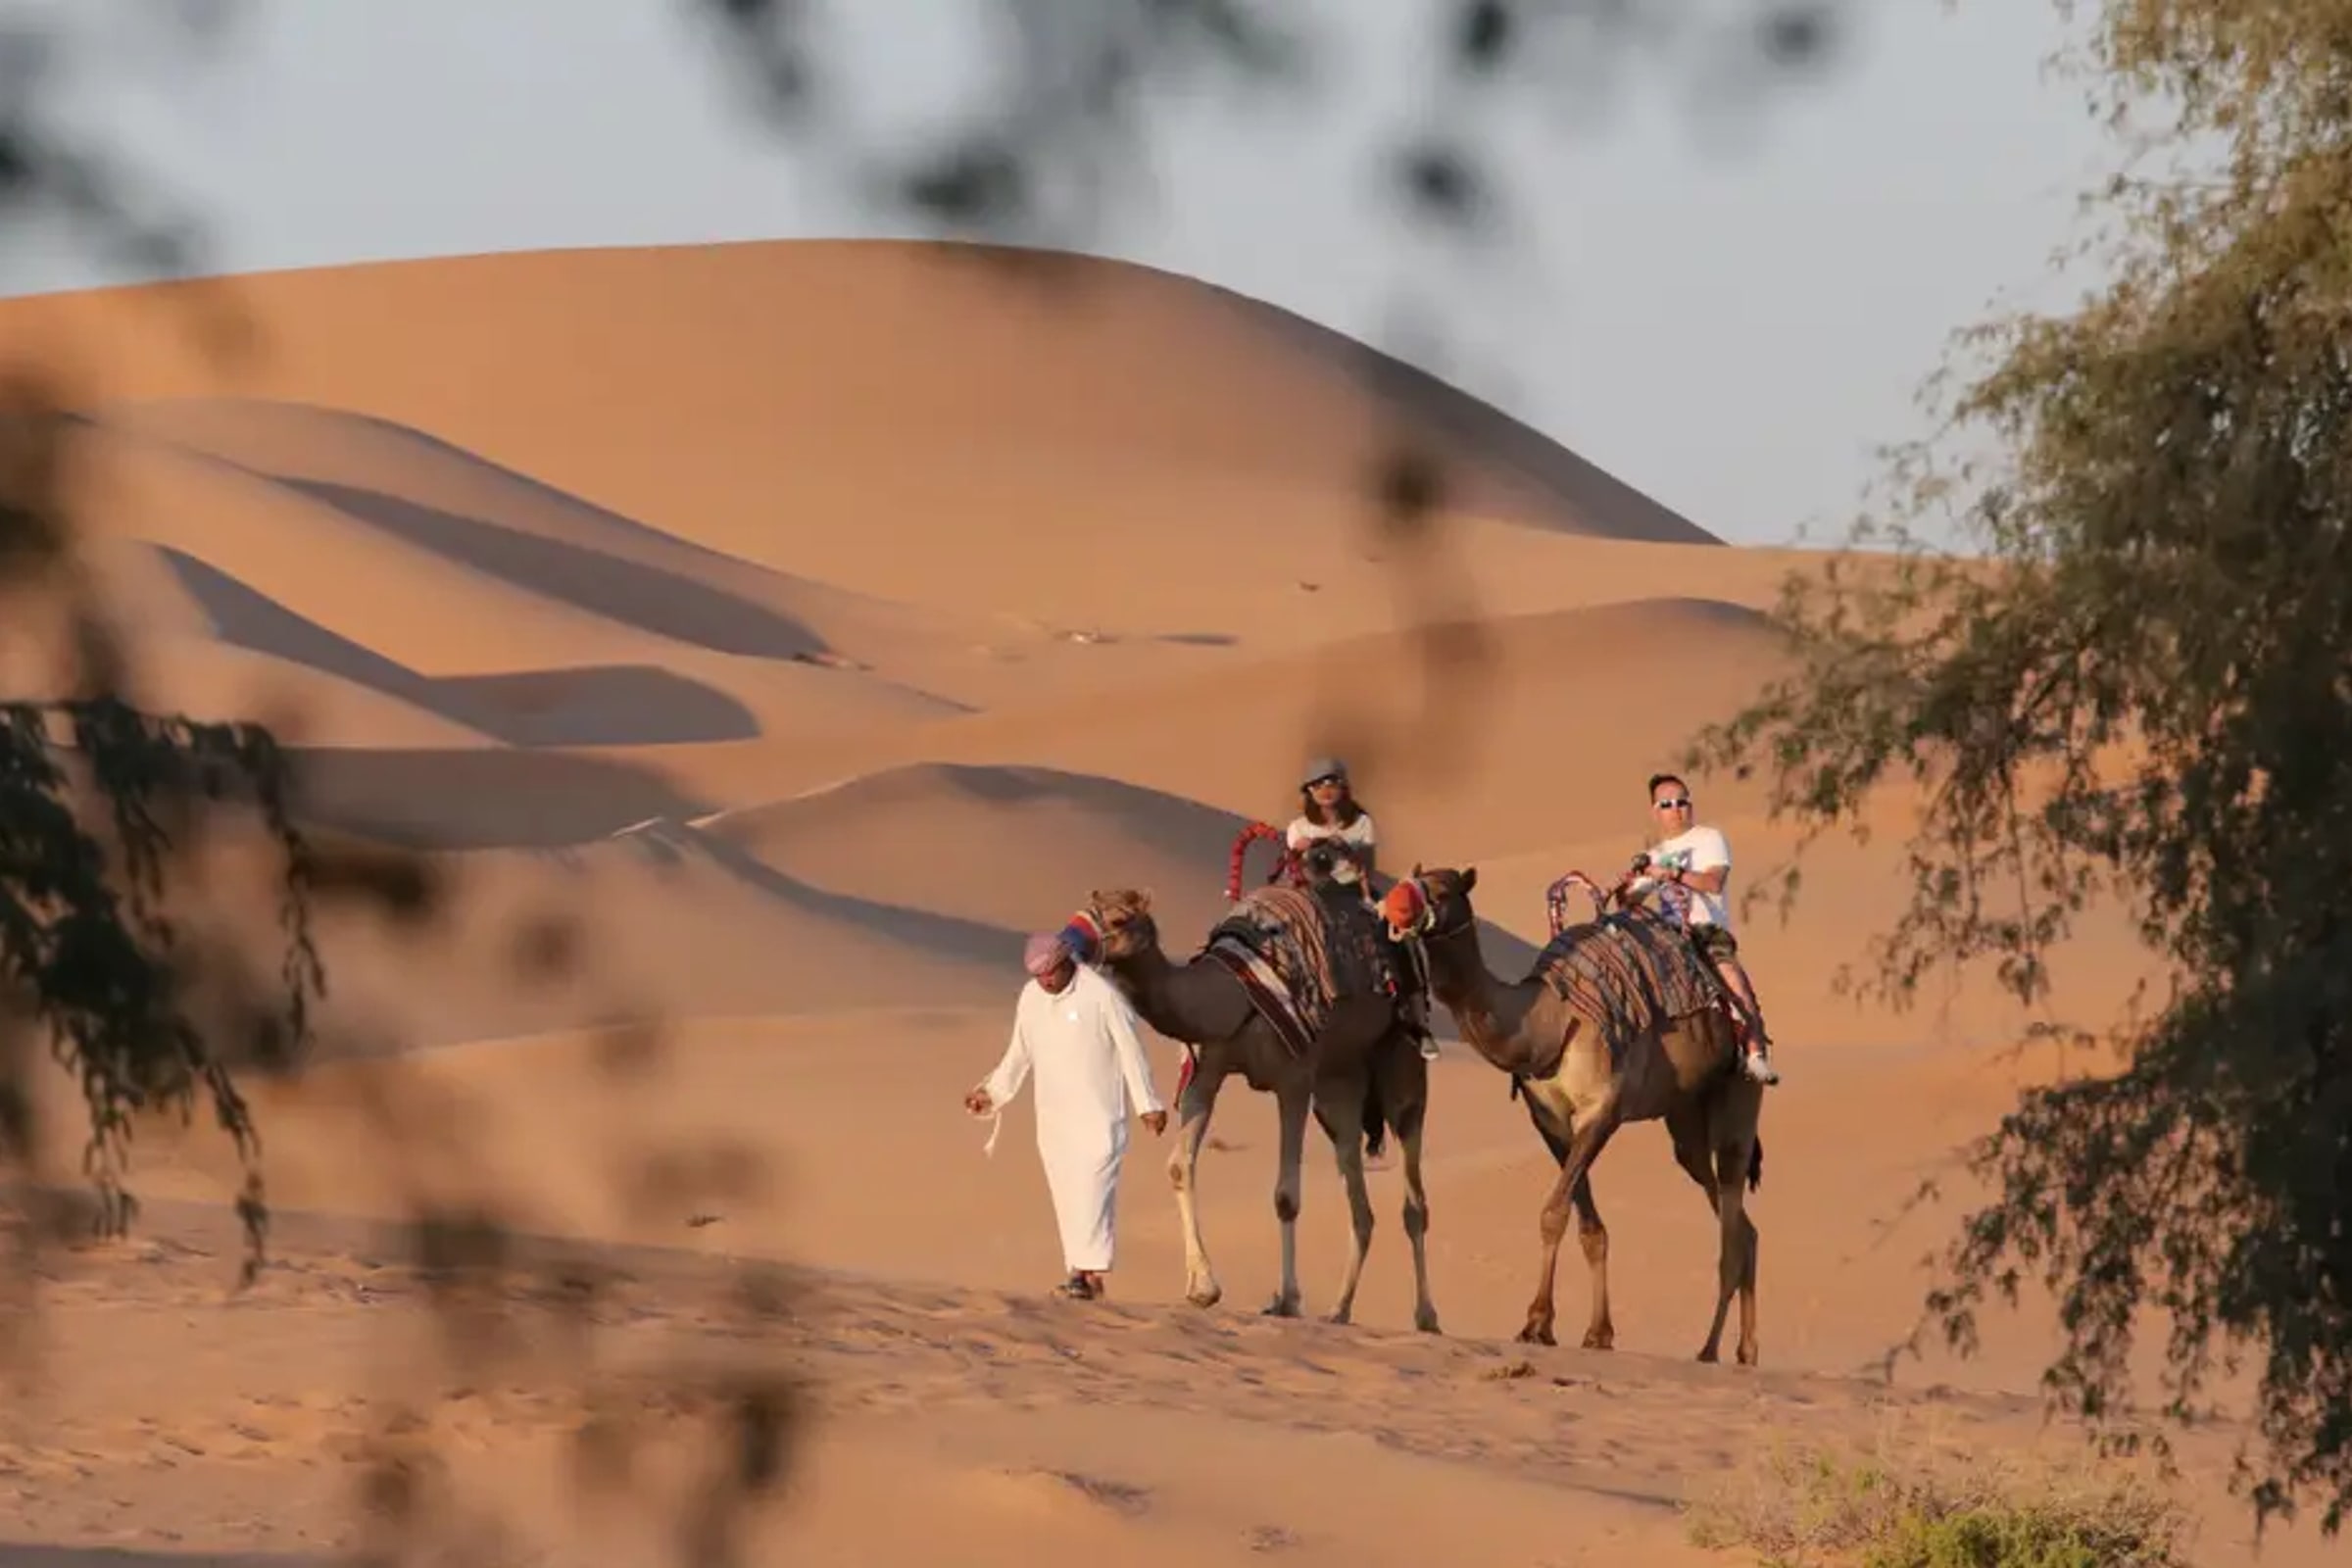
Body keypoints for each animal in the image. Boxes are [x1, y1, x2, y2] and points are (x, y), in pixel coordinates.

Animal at [1064, 882, 1440, 1332]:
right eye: (1084, 910)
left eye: (1119, 919)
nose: (1068, 945)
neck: (1233, 997)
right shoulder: (1206, 1069)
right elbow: (1179, 1165)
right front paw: (1202, 1288)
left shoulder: (1294, 1079)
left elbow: (1286, 1196)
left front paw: (1288, 1300)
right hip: (1340, 1084)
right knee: (1360, 1202)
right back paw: (1338, 1310)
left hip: (1402, 1063)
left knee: (1413, 1196)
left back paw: (1426, 1317)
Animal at [1382, 865, 1764, 1364]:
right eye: (1414, 877)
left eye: (1442, 890)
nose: (1392, 904)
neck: (1548, 1023)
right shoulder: (1551, 1123)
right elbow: (1587, 1225)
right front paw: (1594, 1332)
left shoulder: (1602, 1112)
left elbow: (1553, 1211)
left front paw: (1534, 1322)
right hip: (1684, 1118)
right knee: (1738, 1221)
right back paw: (1745, 1350)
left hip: (1738, 1093)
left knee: (1733, 1222)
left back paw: (1710, 1350)